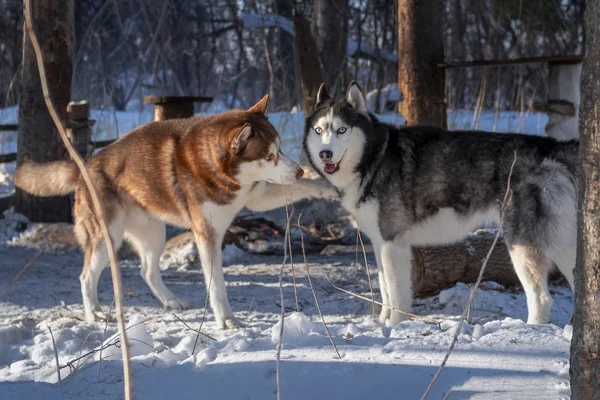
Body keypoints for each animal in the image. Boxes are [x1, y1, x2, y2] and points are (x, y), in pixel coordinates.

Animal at [15, 96, 338, 328]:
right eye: (269, 156)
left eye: (280, 149)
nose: (298, 171)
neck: (221, 172)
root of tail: (84, 165)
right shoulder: (207, 235)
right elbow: (216, 285)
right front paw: (226, 320)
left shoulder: (255, 197)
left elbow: (297, 190)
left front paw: (324, 186)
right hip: (108, 237)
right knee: (86, 277)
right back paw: (94, 313)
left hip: (153, 234)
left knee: (146, 271)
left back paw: (171, 302)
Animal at [302, 81, 580, 324]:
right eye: (319, 130)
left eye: (341, 130)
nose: (325, 154)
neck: (373, 158)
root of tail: (552, 147)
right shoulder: (380, 243)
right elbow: (385, 291)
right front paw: (381, 323)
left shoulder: (393, 245)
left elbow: (396, 294)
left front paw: (394, 326)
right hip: (560, 242)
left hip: (523, 246)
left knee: (541, 298)